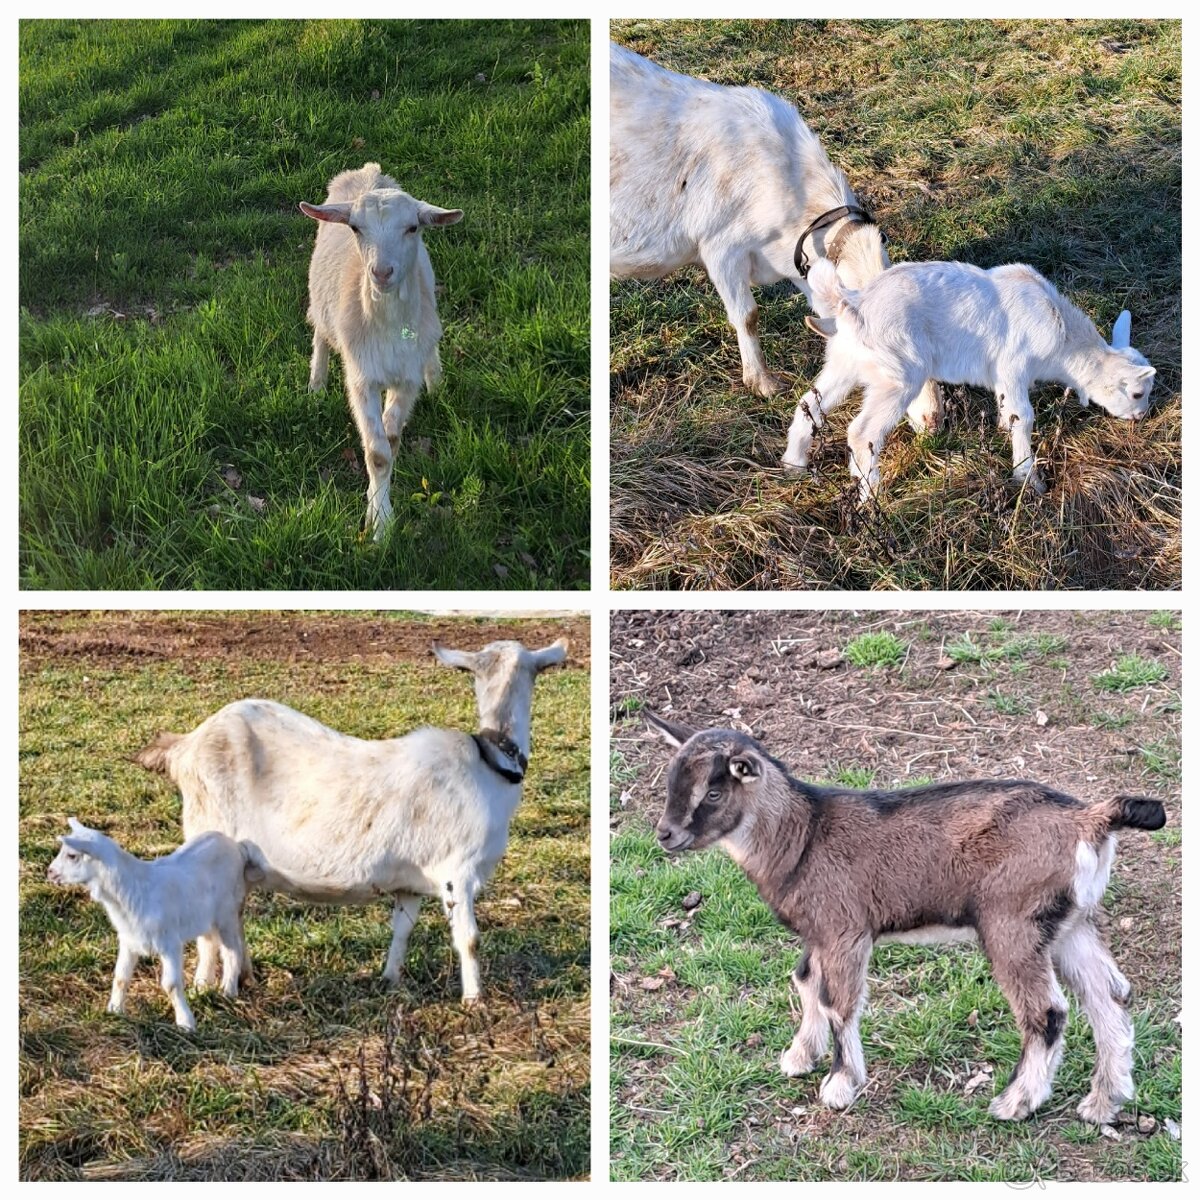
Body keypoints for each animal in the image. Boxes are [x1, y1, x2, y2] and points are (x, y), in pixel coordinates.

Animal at [46, 825, 258, 1032]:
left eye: (72, 855)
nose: (49, 872)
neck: (134, 890)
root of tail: (235, 845)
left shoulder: (170, 943)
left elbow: (171, 985)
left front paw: (186, 1023)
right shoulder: (129, 940)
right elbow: (121, 977)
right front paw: (114, 1010)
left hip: (227, 913)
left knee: (232, 951)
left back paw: (228, 992)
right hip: (206, 917)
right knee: (209, 945)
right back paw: (202, 987)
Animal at [138, 638, 568, 1003]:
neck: (491, 764)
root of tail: (184, 747)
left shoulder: (411, 881)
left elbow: (402, 929)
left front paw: (390, 979)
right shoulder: (458, 873)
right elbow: (470, 939)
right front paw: (474, 1000)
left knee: (234, 915)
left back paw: (246, 977)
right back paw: (204, 985)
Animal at [302, 164, 460, 540]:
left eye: (413, 227)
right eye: (356, 228)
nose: (382, 272)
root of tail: (367, 171)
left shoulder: (406, 380)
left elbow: (391, 441)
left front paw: (378, 516)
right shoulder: (362, 378)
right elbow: (377, 453)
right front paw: (381, 527)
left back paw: (437, 382)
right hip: (319, 296)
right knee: (319, 331)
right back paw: (316, 385)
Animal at [782, 258, 1156, 501]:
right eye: (1138, 393)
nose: (1141, 417)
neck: (1063, 337)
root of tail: (853, 305)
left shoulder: (1003, 379)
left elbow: (1009, 412)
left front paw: (1004, 431)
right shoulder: (1013, 366)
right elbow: (1024, 416)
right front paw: (1029, 479)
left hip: (844, 364)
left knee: (808, 404)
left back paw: (793, 465)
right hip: (899, 376)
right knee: (862, 433)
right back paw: (872, 498)